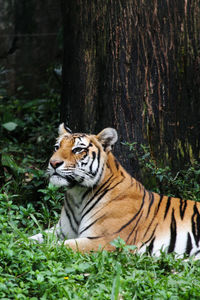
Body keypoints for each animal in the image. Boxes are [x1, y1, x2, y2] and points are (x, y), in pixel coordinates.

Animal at [29, 123, 200, 256]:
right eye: (56, 147)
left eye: (77, 150)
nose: (53, 163)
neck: (77, 195)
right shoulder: (60, 231)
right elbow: (31, 237)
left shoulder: (104, 240)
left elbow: (54, 246)